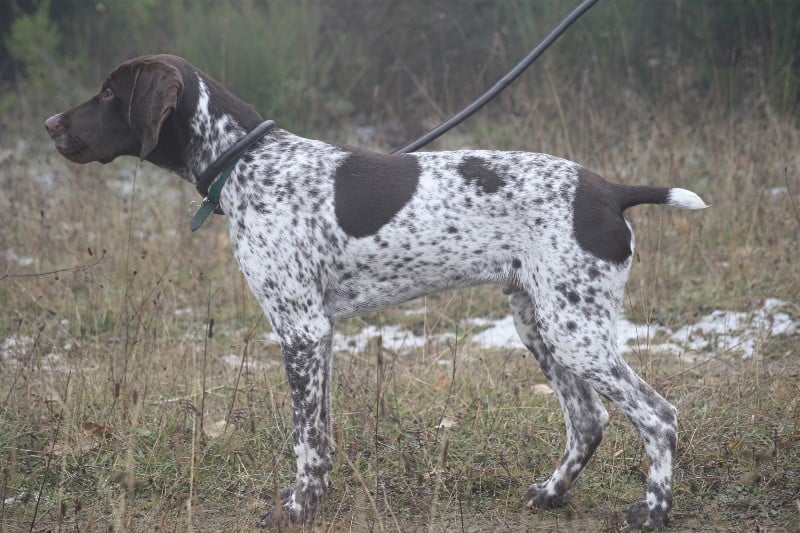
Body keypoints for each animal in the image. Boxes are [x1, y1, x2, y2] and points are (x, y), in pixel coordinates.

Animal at [45, 55, 708, 528]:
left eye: (110, 93)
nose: (50, 125)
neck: (248, 163)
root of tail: (611, 190)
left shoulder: (301, 330)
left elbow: (306, 440)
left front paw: (296, 510)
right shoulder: (316, 335)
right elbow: (321, 434)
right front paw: (311, 502)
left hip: (576, 332)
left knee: (658, 415)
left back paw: (653, 511)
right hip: (540, 323)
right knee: (589, 418)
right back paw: (549, 494)